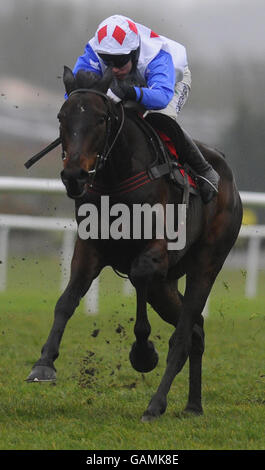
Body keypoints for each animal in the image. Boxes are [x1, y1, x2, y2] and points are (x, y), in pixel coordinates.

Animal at [26, 67, 241, 422]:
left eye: (100, 118)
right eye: (61, 116)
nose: (74, 175)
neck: (116, 177)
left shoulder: (153, 253)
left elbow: (139, 280)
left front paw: (143, 353)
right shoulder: (90, 248)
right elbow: (66, 301)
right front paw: (43, 364)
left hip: (206, 263)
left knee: (183, 334)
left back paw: (155, 404)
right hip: (166, 285)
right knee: (196, 330)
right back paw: (193, 405)